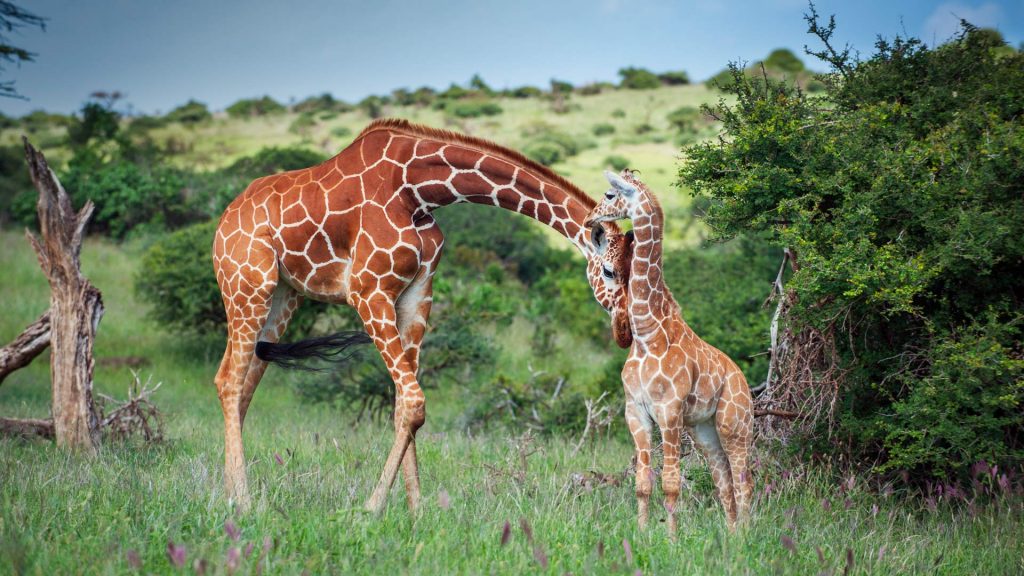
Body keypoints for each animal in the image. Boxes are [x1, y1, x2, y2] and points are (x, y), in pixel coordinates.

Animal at [212, 118, 626, 508]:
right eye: (609, 270)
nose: (624, 330)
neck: (419, 191)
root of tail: (224, 218)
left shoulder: (417, 293)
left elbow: (403, 406)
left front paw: (416, 511)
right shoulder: (369, 291)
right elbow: (413, 402)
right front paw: (372, 508)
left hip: (283, 297)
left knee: (243, 382)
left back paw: (229, 492)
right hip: (246, 286)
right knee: (229, 379)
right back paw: (243, 501)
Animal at [585, 169, 753, 528]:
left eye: (610, 194)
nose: (591, 218)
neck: (648, 332)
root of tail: (744, 381)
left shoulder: (670, 412)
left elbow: (672, 483)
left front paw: (672, 538)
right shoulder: (636, 411)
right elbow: (643, 482)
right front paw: (642, 533)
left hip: (735, 425)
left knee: (744, 481)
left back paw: (747, 535)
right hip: (705, 430)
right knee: (724, 482)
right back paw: (732, 536)